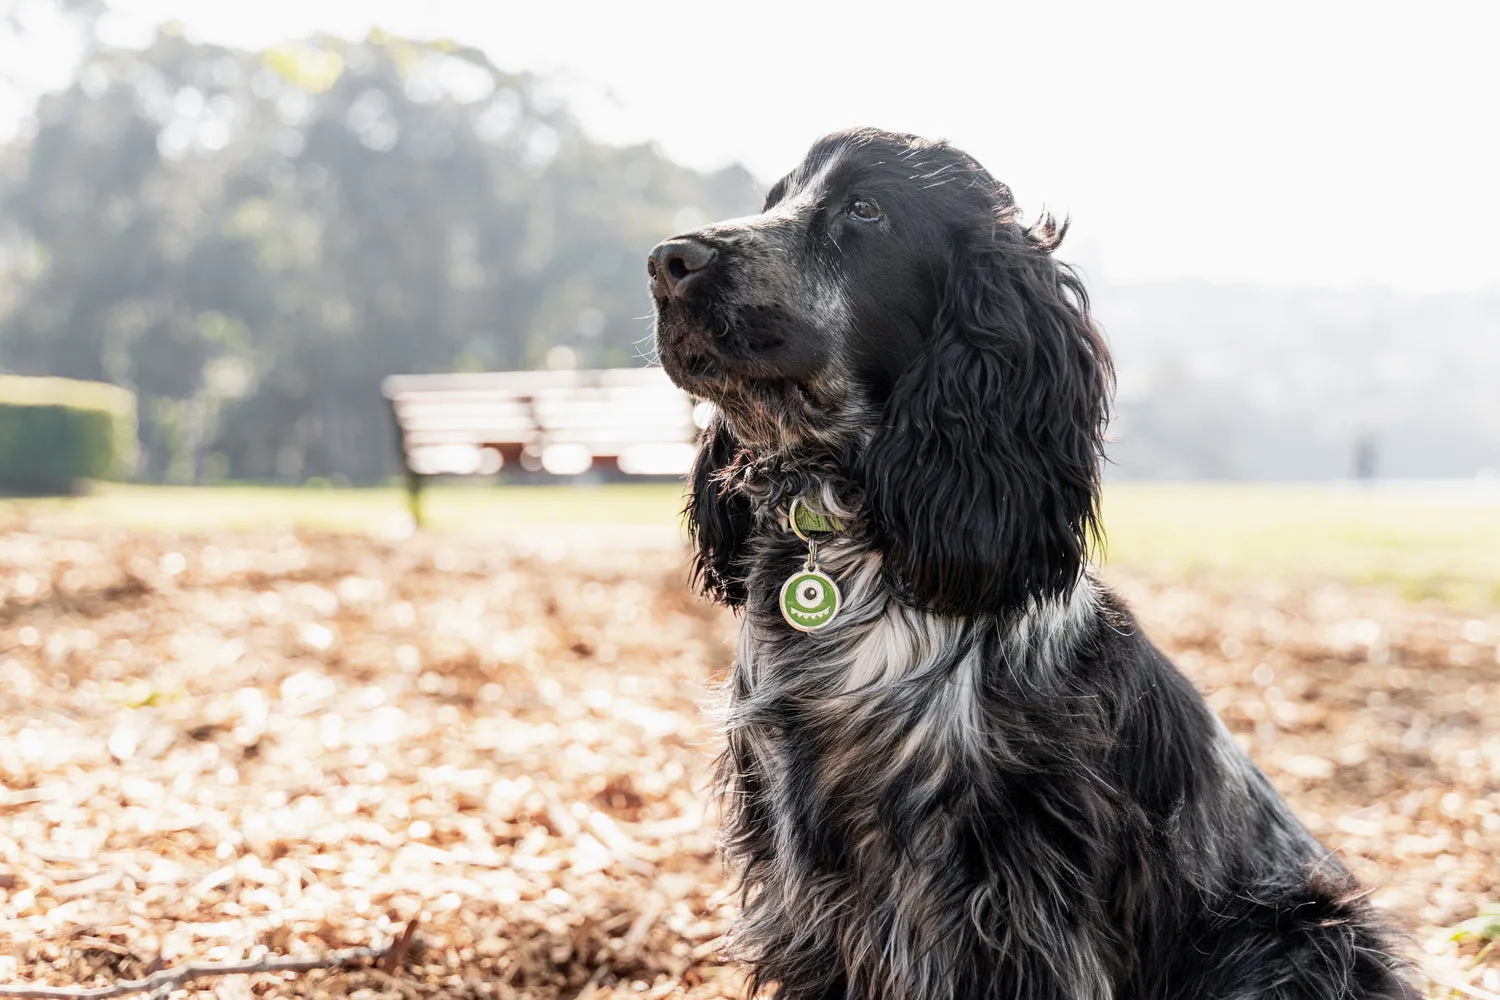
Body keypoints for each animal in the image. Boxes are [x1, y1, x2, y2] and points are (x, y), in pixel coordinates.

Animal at [648, 128, 1416, 995]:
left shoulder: (1021, 917)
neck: (851, 549)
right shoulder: (807, 891)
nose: (668, 260)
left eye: (866, 209)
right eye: (777, 199)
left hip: (1299, 938)